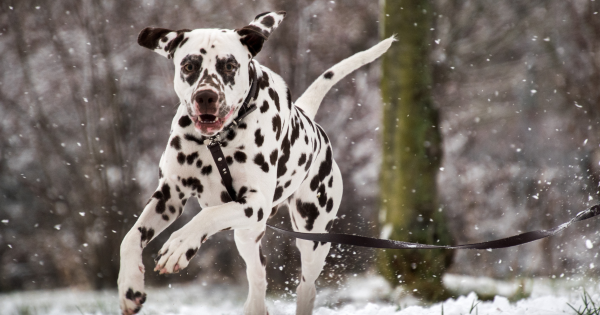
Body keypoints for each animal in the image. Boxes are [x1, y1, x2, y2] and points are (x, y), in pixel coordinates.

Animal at [119, 10, 396, 315]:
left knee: (306, 286)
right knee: (258, 272)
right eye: (189, 66)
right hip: (247, 235)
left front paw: (179, 245)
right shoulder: (169, 196)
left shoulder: (254, 203)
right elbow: (130, 237)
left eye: (229, 65)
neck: (215, 142)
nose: (206, 96)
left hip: (312, 236)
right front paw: (130, 286)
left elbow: (205, 216)